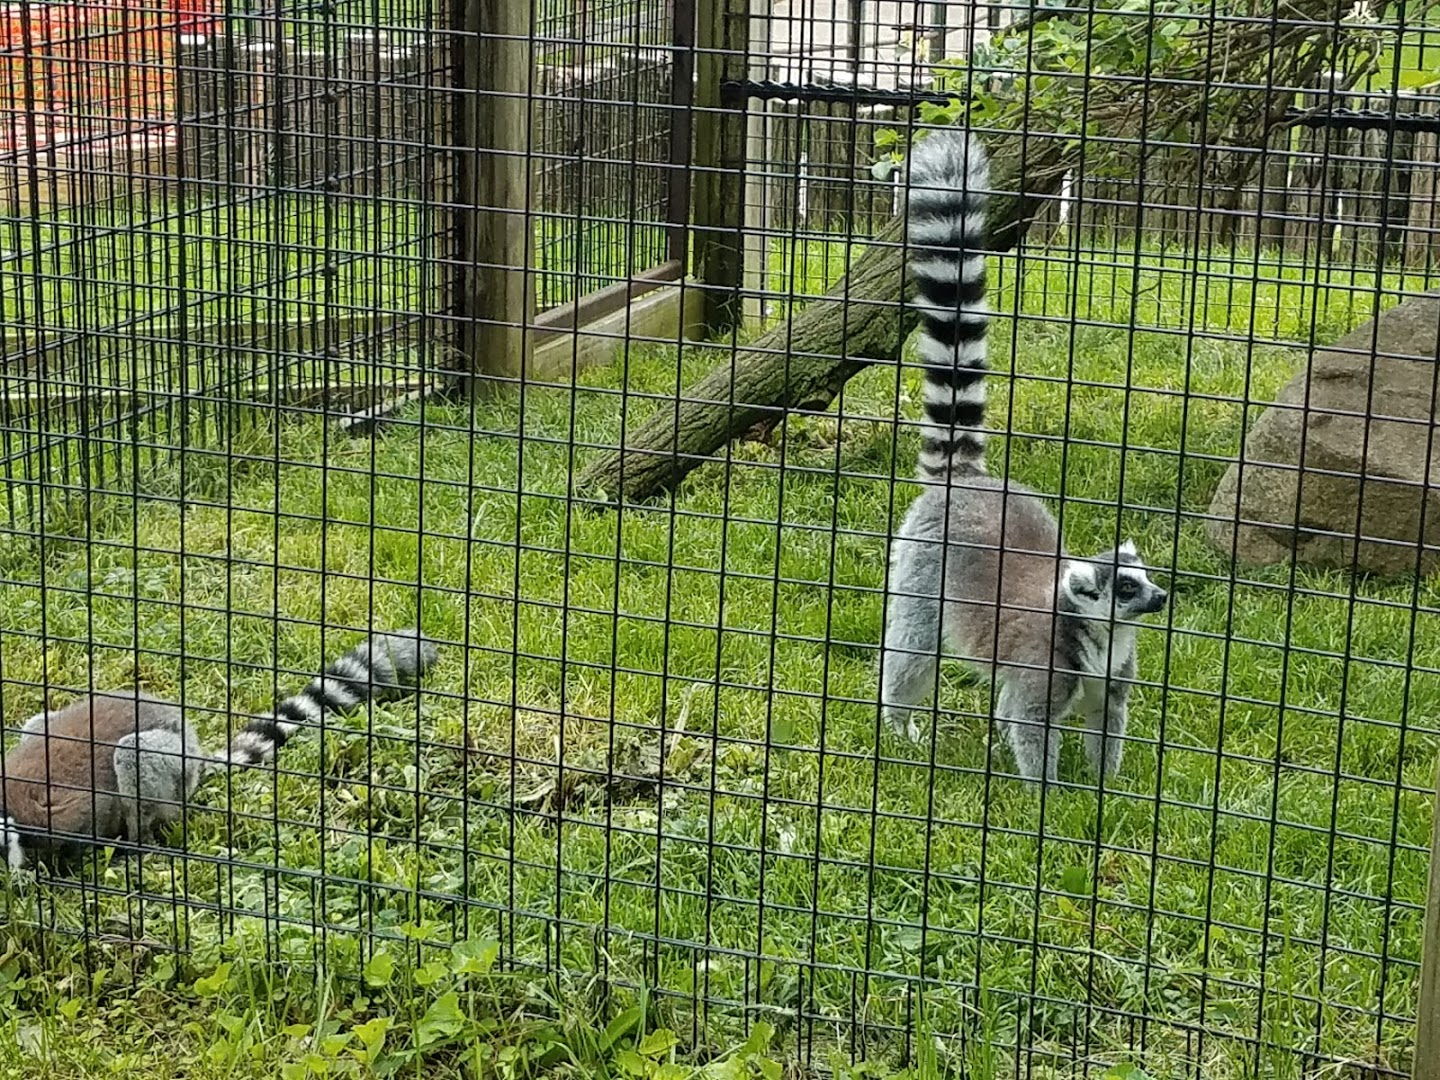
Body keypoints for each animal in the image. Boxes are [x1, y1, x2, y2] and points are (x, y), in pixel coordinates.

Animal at [877, 127, 1169, 784]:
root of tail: (968, 483)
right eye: (1127, 588)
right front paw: (1048, 799)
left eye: (1146, 576)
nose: (1164, 597)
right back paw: (900, 731)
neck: (1099, 640)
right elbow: (1028, 723)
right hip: (922, 573)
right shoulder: (1044, 668)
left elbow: (1106, 725)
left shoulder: (1111, 683)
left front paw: (1108, 789)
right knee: (912, 648)